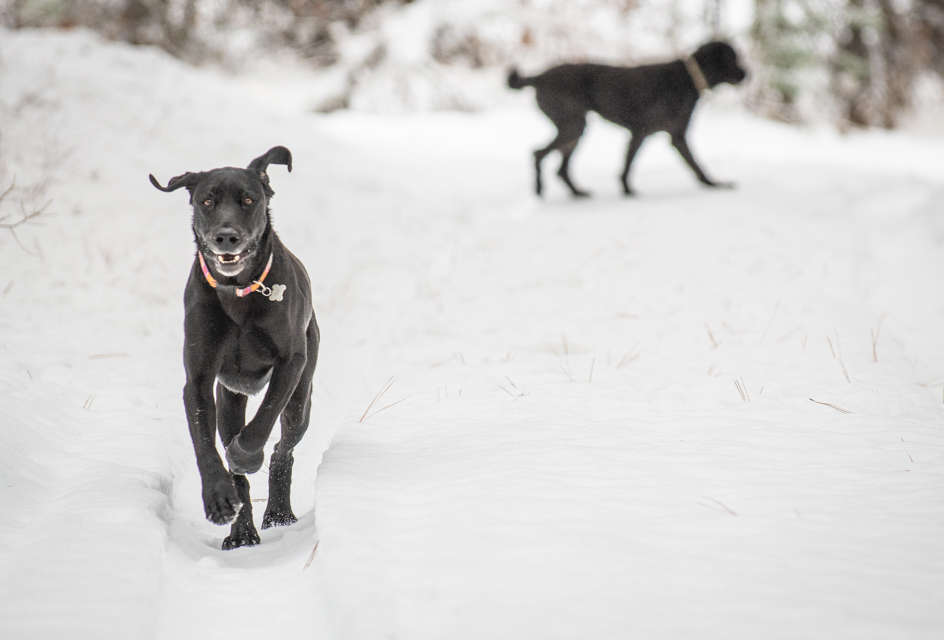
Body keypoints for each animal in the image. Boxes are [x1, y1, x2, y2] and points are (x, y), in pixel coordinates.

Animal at [150, 146, 319, 550]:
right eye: (207, 201)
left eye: (249, 200)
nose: (226, 237)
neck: (238, 290)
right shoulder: (198, 379)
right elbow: (205, 445)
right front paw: (218, 497)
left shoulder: (291, 362)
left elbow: (263, 422)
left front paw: (245, 455)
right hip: (228, 401)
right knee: (235, 455)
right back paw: (242, 531)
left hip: (301, 400)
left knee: (283, 448)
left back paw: (278, 513)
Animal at [508, 41, 747, 197]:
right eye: (733, 58)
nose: (747, 74)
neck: (686, 79)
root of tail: (539, 76)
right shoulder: (640, 133)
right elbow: (628, 165)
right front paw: (627, 191)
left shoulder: (676, 136)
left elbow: (697, 166)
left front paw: (713, 184)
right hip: (573, 126)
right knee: (538, 154)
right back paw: (539, 190)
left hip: (574, 130)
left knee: (560, 169)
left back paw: (577, 193)